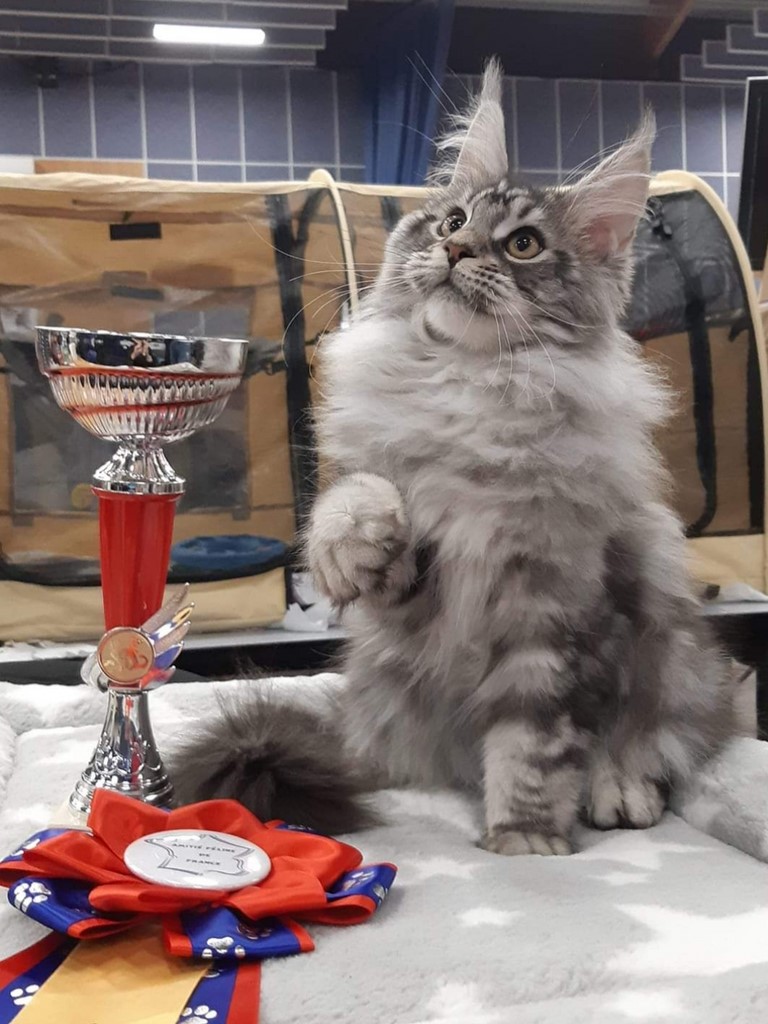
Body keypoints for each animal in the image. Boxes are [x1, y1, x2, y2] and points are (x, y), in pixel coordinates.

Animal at [172, 61, 734, 855]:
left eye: (524, 244)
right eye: (451, 222)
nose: (456, 251)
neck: (468, 389)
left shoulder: (552, 611)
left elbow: (536, 744)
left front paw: (525, 841)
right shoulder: (411, 586)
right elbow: (361, 492)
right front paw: (349, 546)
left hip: (675, 649)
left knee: (654, 738)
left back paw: (619, 790)